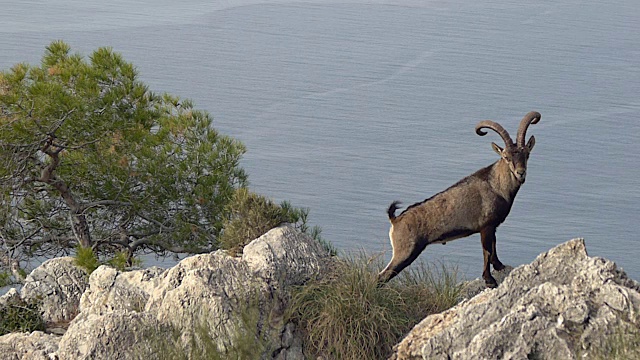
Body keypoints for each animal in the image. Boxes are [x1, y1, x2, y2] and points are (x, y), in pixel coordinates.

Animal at [380, 111, 540, 288]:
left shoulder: (493, 226)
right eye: (506, 157)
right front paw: (489, 280)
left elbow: (494, 248)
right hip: (405, 252)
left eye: (527, 154)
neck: (496, 184)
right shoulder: (485, 227)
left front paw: (499, 266)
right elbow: (487, 251)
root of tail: (395, 220)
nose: (520, 173)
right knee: (381, 276)